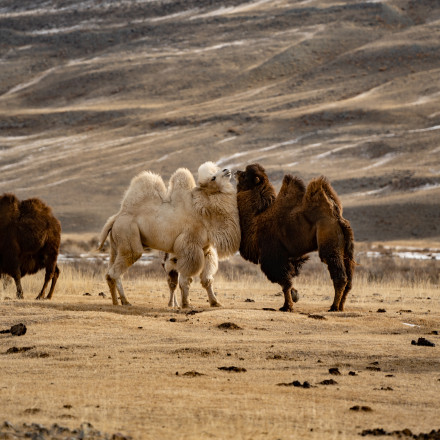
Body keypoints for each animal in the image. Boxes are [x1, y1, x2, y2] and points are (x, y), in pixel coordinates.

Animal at [98, 160, 241, 308]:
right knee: (117, 270)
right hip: (128, 235)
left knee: (109, 273)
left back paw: (115, 302)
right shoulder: (189, 247)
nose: (226, 170)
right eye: (213, 177)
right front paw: (186, 304)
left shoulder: (206, 250)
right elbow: (186, 279)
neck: (202, 212)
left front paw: (215, 302)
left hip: (116, 244)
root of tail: (116, 218)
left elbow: (207, 280)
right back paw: (126, 301)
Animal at [235, 163, 356, 312]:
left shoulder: (274, 256)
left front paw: (287, 306)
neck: (256, 219)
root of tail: (338, 219)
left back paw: (333, 307)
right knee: (349, 280)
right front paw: (295, 295)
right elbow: (289, 278)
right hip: (347, 251)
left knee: (340, 276)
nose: (236, 172)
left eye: (245, 174)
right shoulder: (291, 257)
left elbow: (284, 282)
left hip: (330, 244)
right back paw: (341, 306)